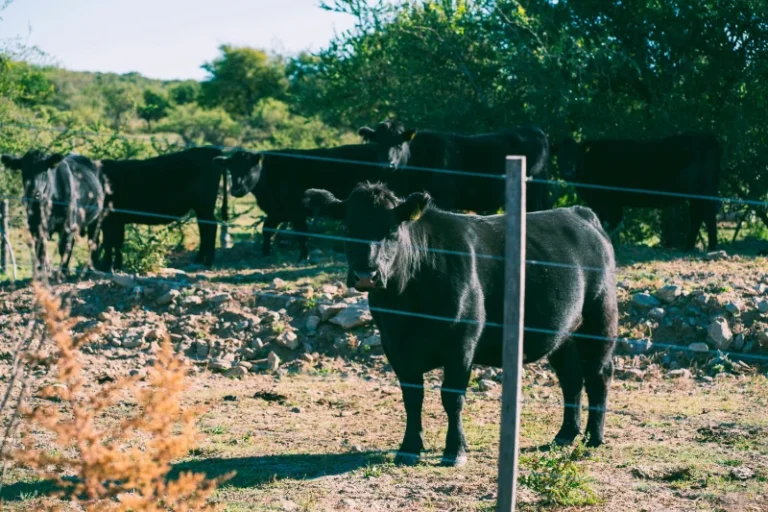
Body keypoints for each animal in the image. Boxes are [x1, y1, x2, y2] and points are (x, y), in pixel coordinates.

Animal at [96, 147, 227, 272]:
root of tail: (213, 150)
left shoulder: (110, 220)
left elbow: (109, 242)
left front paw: (105, 267)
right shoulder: (116, 221)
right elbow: (116, 243)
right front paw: (115, 266)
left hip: (204, 205)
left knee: (210, 227)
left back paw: (207, 261)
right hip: (201, 208)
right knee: (205, 227)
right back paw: (200, 260)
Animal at [213, 145, 389, 260]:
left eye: (249, 169)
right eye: (231, 169)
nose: (236, 189)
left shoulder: (295, 211)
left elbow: (301, 233)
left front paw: (304, 256)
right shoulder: (277, 211)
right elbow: (267, 229)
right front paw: (266, 253)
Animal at [304, 182, 618, 466]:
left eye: (392, 231)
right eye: (347, 229)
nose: (366, 275)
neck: (406, 308)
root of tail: (578, 213)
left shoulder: (461, 343)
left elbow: (452, 398)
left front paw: (455, 451)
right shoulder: (395, 346)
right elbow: (412, 398)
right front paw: (409, 448)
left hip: (599, 319)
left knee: (598, 374)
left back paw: (593, 437)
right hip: (563, 333)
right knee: (571, 378)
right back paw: (565, 434)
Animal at [358, 120, 553, 213]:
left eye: (399, 144)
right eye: (379, 143)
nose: (387, 165)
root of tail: (536, 130)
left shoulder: (444, 198)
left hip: (534, 194)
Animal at [555, 135, 721, 250]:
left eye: (576, 154)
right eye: (559, 155)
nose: (568, 171)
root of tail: (708, 138)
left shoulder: (608, 202)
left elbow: (611, 223)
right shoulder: (608, 203)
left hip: (702, 192)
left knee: (706, 215)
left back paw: (711, 246)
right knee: (699, 216)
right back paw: (690, 247)